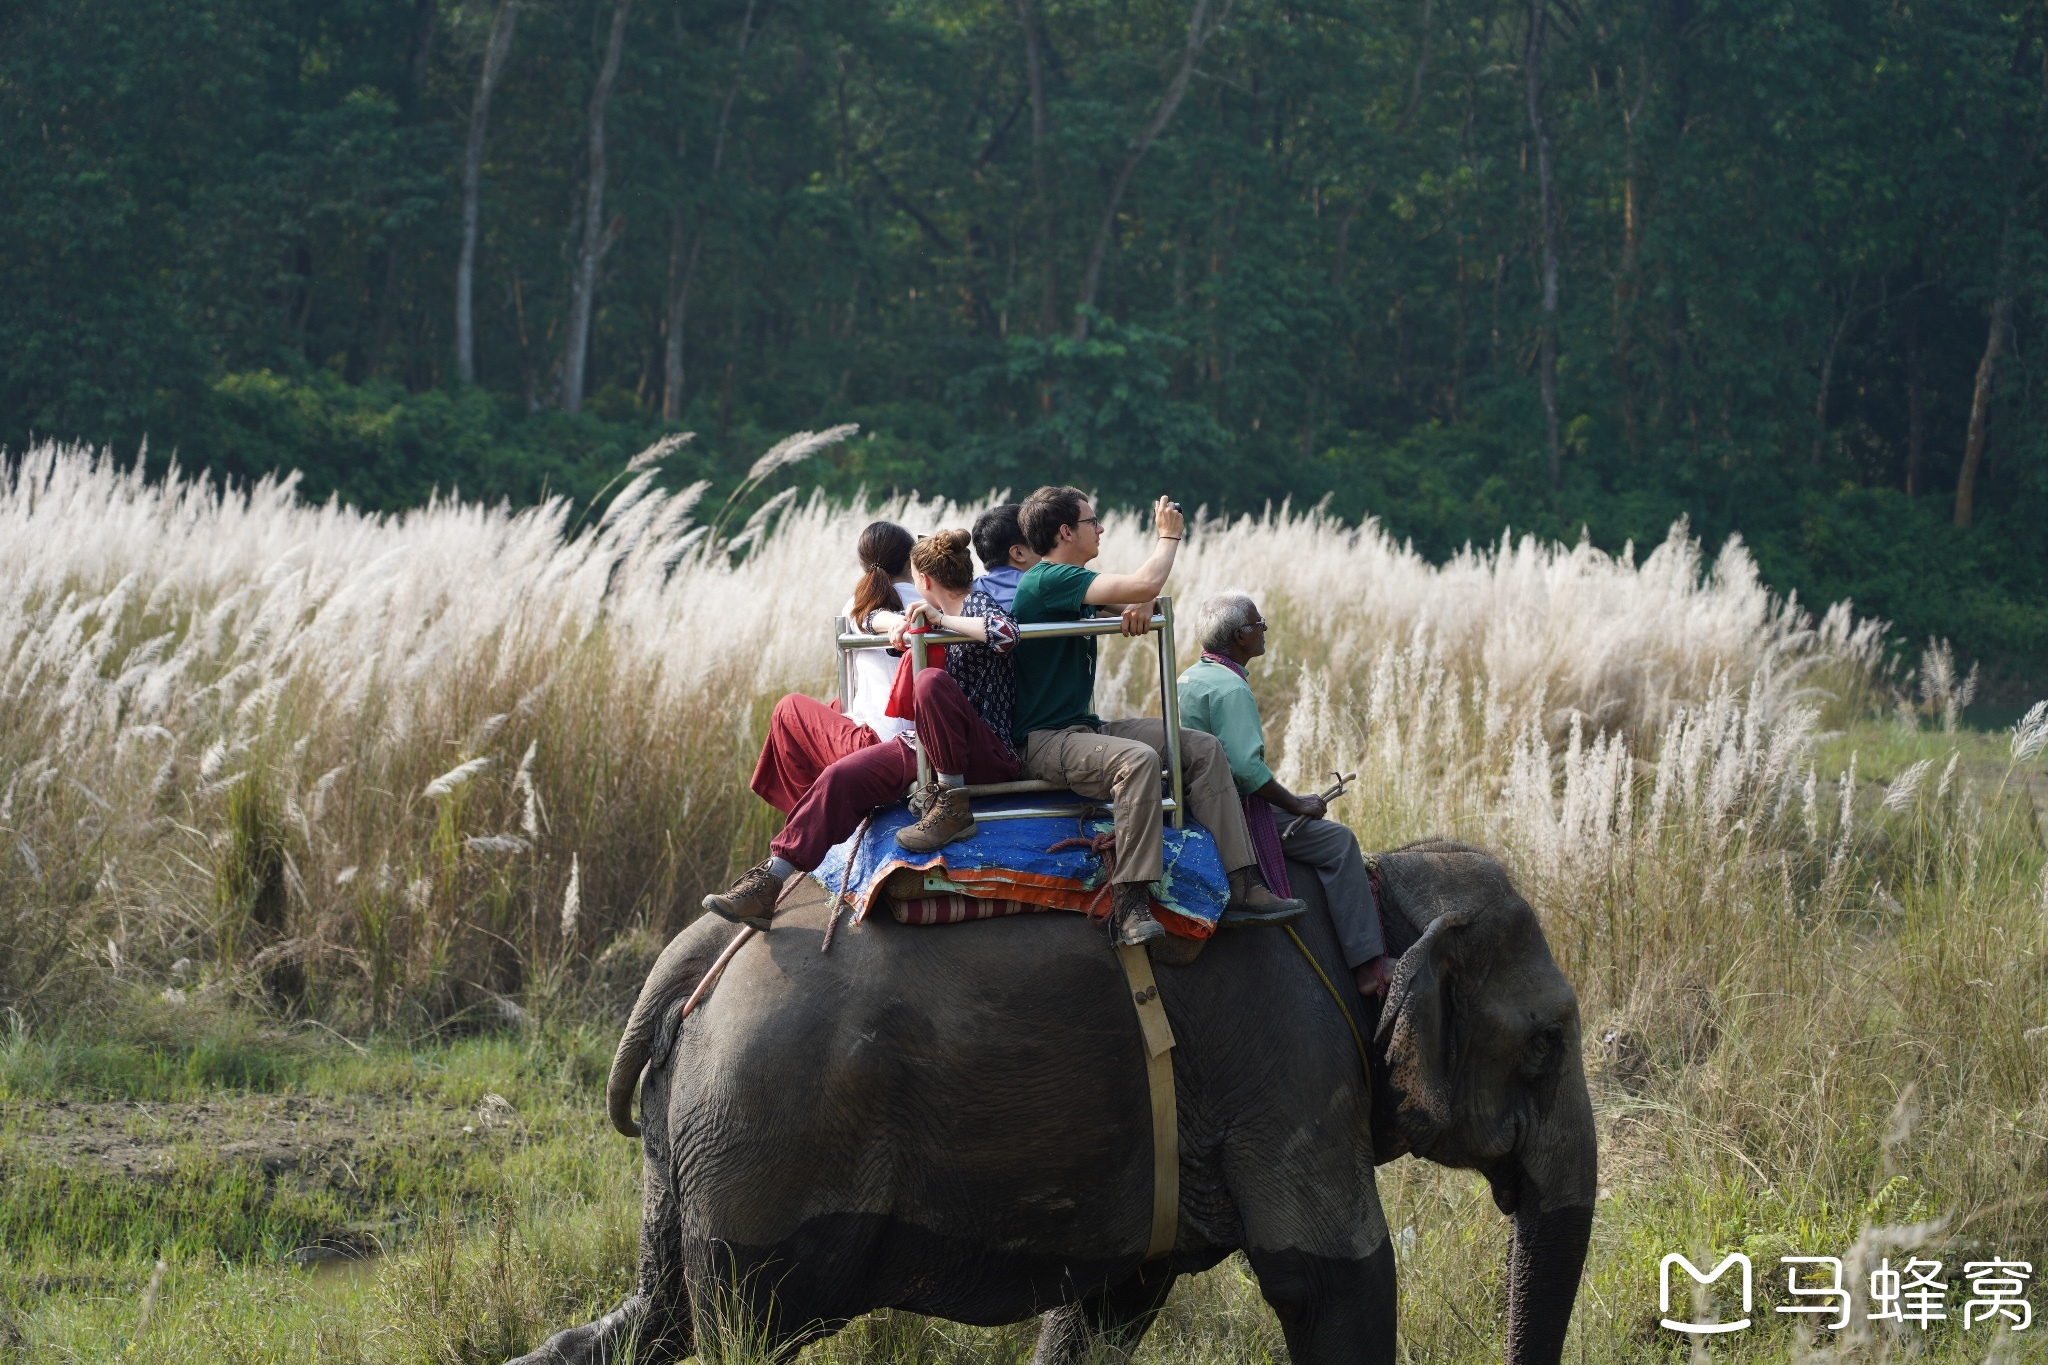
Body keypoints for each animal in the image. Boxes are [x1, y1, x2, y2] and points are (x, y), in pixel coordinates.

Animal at [512, 839, 1597, 1358]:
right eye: (1546, 1044)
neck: (1372, 888)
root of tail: (697, 952)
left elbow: (1111, 1305)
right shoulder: (1292, 1067)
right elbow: (1333, 1285)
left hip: (694, 1141)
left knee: (657, 1319)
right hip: (765, 1129)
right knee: (736, 1328)